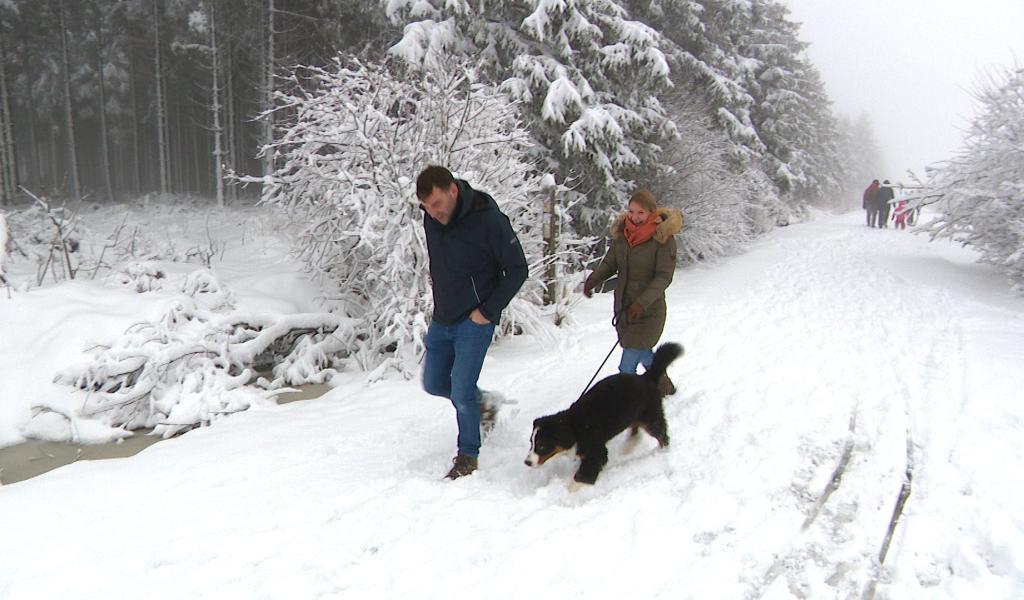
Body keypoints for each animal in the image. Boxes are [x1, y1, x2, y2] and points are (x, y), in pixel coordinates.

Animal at [524, 341, 684, 485]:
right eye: (531, 443)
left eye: (542, 445)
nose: (527, 462)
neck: (574, 427)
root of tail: (646, 377)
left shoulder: (596, 451)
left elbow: (582, 477)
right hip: (633, 413)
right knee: (635, 430)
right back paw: (628, 447)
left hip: (651, 417)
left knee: (661, 435)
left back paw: (663, 452)